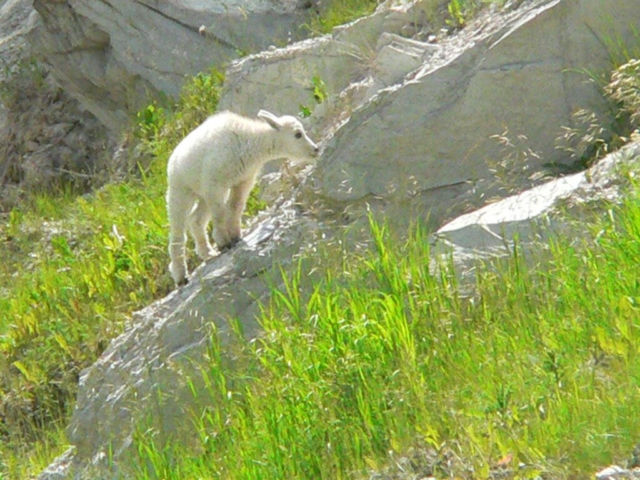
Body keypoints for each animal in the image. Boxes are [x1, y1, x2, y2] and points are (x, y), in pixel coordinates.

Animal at [166, 109, 318, 284]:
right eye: (298, 134)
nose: (316, 149)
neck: (251, 142)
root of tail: (173, 158)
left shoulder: (243, 181)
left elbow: (235, 206)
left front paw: (235, 237)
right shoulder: (215, 184)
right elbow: (220, 213)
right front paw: (223, 240)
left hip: (202, 193)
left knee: (196, 220)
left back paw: (207, 253)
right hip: (180, 191)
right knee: (178, 233)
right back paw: (180, 275)